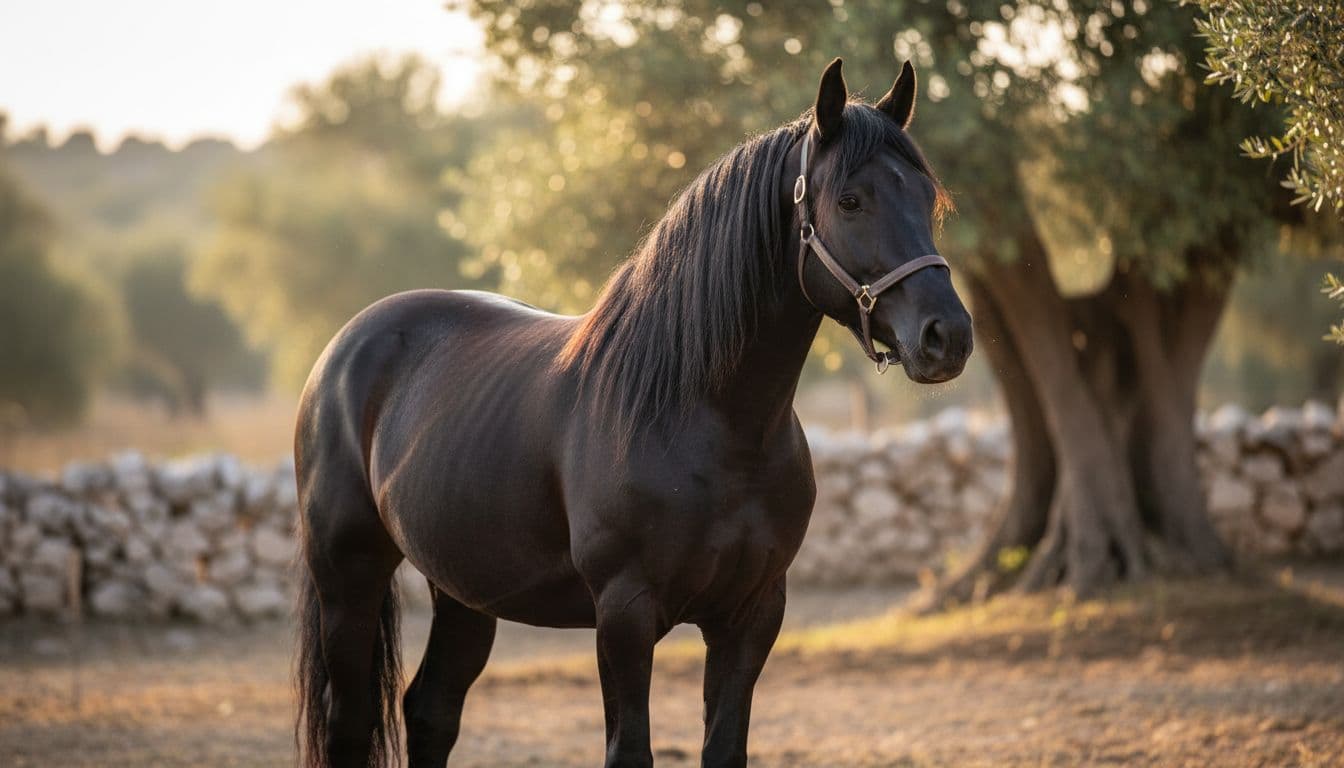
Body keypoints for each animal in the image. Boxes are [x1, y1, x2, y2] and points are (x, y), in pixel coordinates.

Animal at [294, 57, 973, 768]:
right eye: (849, 201)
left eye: (926, 198)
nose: (947, 336)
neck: (704, 421)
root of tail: (346, 347)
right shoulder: (624, 614)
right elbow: (630, 749)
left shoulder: (752, 613)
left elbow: (724, 747)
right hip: (348, 579)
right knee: (349, 724)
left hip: (462, 589)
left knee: (431, 712)